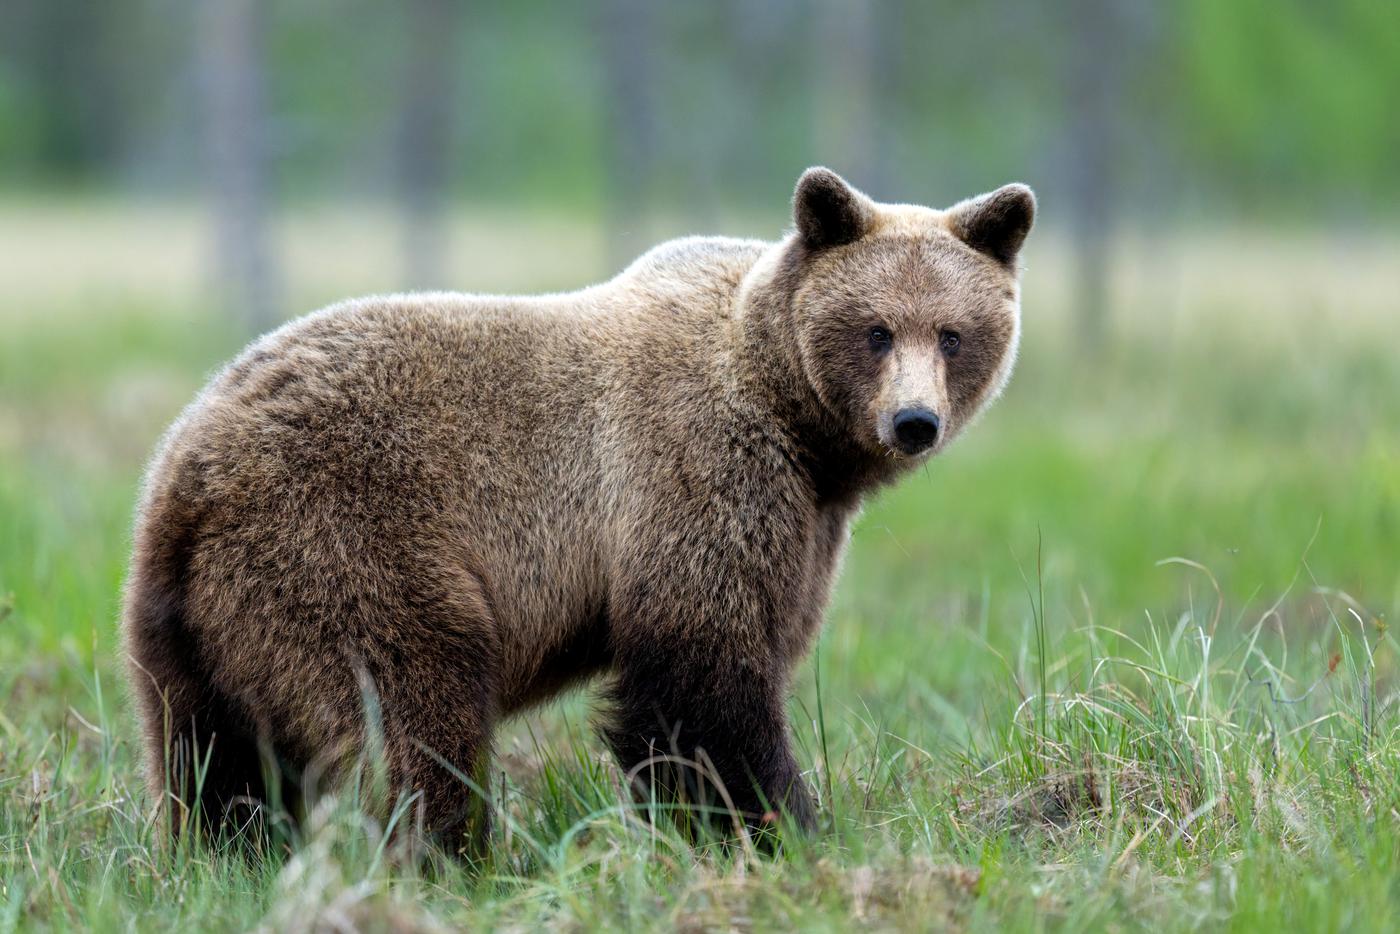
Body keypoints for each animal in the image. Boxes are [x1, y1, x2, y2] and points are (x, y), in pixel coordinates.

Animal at [122, 167, 1034, 855]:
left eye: (953, 333)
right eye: (876, 330)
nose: (913, 421)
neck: (798, 425)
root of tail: (188, 467)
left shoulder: (806, 521)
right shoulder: (694, 473)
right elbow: (702, 679)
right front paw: (779, 828)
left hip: (193, 621)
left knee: (212, 757)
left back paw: (228, 855)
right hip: (350, 536)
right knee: (415, 712)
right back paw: (447, 856)